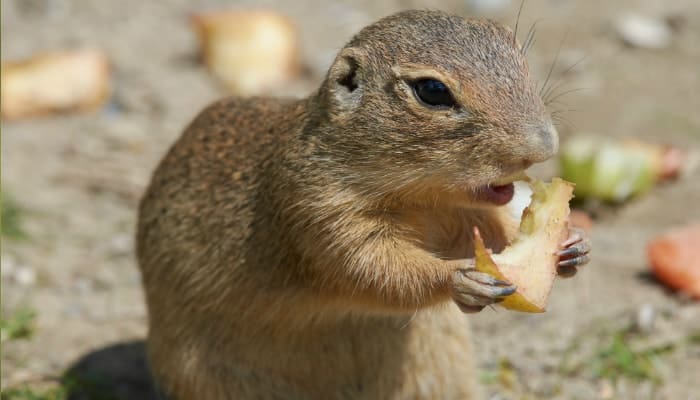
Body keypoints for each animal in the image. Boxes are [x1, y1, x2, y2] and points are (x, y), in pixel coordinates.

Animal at [137, 9, 592, 400]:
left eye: (520, 56)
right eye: (432, 91)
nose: (542, 146)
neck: (421, 198)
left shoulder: (465, 214)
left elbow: (496, 232)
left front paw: (573, 249)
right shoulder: (318, 209)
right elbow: (374, 269)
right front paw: (462, 279)